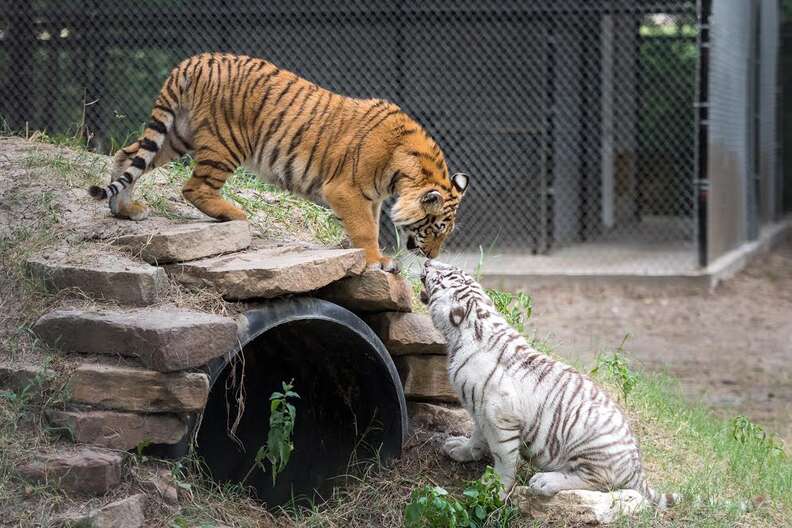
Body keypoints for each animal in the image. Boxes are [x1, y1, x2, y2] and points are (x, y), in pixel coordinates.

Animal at [89, 52, 468, 272]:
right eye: (436, 229)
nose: (433, 258)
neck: (402, 174)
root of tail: (196, 60)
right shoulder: (346, 190)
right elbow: (365, 229)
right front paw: (377, 262)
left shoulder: (370, 198)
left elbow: (369, 225)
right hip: (226, 143)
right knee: (194, 187)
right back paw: (235, 214)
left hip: (176, 134)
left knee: (127, 155)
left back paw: (125, 210)